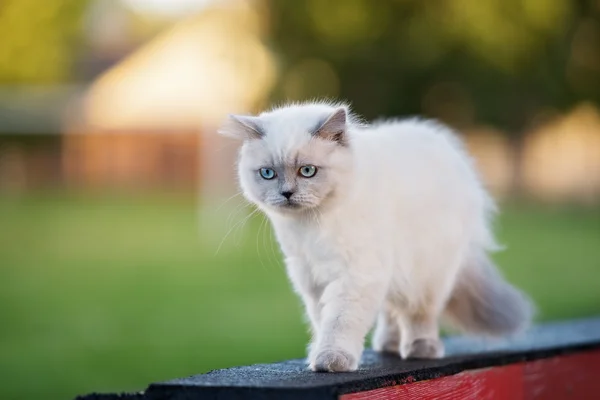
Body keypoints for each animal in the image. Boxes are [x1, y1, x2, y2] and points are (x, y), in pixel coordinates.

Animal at [220, 101, 536, 374]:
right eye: (268, 174)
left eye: (307, 171)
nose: (286, 193)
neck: (312, 226)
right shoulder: (312, 278)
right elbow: (322, 322)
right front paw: (317, 355)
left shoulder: (355, 275)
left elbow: (340, 323)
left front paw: (331, 360)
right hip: (394, 272)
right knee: (392, 310)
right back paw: (389, 346)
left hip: (426, 272)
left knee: (420, 314)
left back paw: (421, 348)